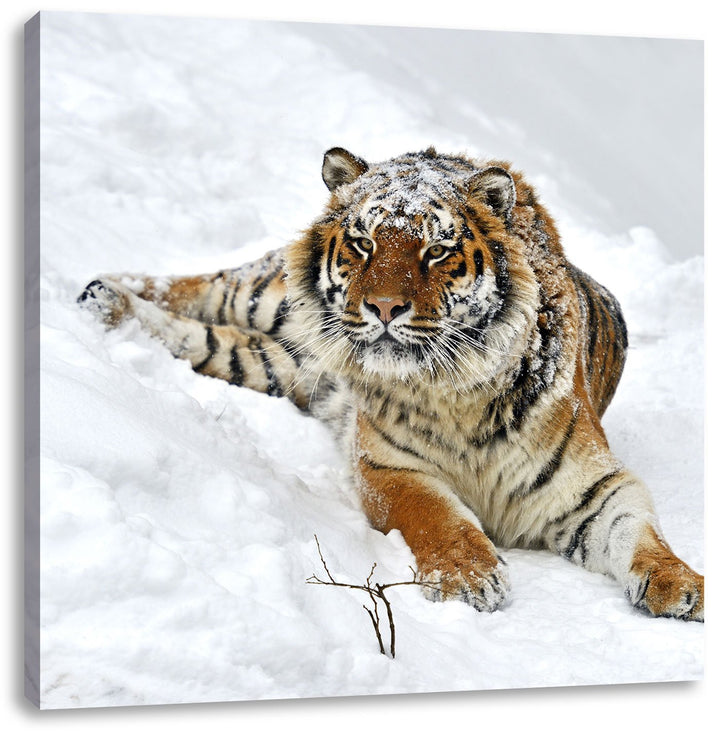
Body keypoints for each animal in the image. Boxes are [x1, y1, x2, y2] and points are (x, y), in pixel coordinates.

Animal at [78, 146, 704, 621]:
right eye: (364, 243)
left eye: (437, 250)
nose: (382, 307)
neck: (458, 393)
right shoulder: (389, 467)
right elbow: (438, 517)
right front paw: (469, 577)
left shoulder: (595, 485)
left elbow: (640, 533)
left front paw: (683, 586)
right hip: (264, 296)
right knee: (199, 285)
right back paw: (95, 289)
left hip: (278, 362)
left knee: (204, 339)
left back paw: (107, 304)